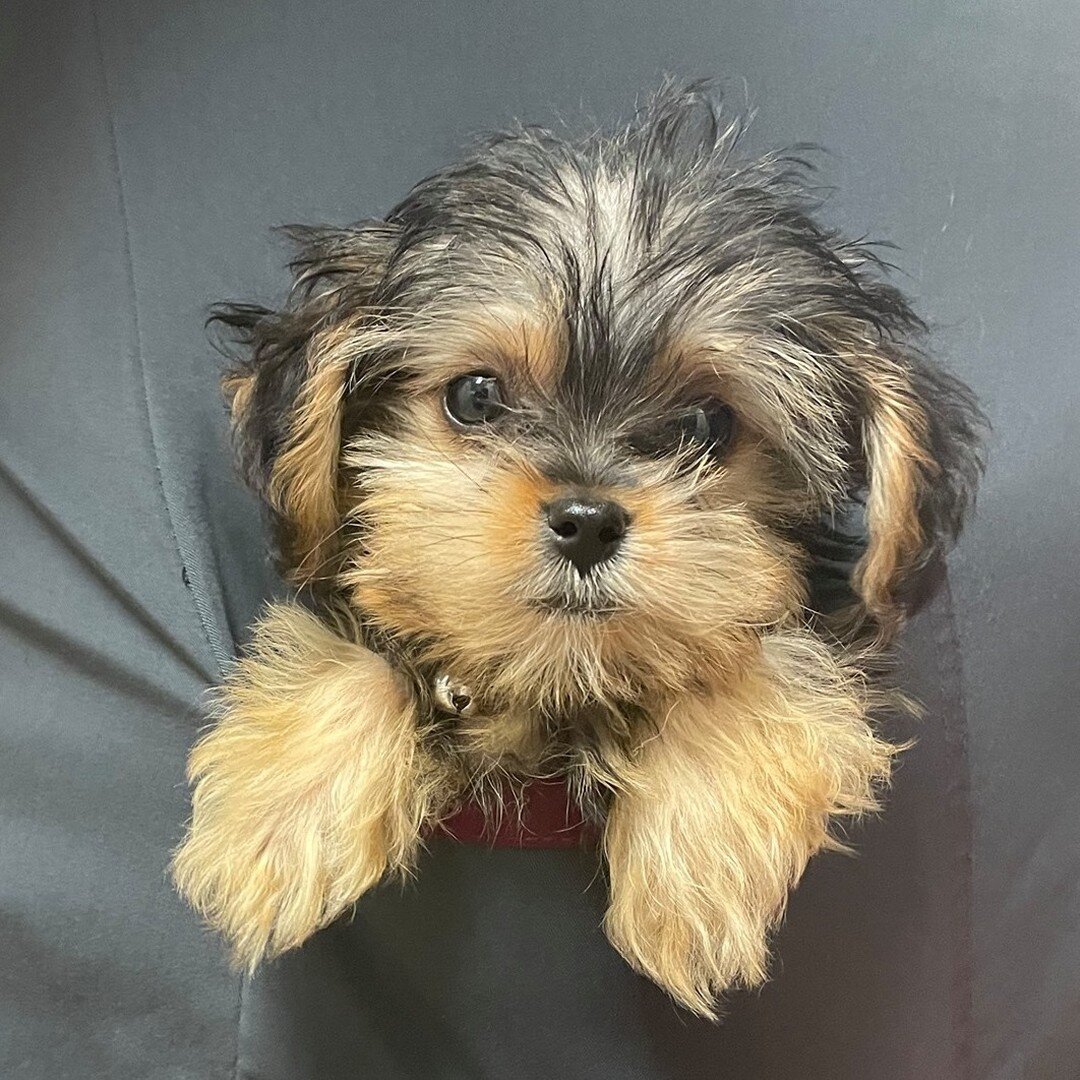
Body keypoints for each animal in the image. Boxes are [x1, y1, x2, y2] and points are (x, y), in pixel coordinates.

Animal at [170, 82, 989, 1010]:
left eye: (706, 425)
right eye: (476, 396)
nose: (589, 520)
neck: (553, 684)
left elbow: (758, 657)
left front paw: (698, 861)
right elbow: (357, 652)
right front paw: (278, 823)